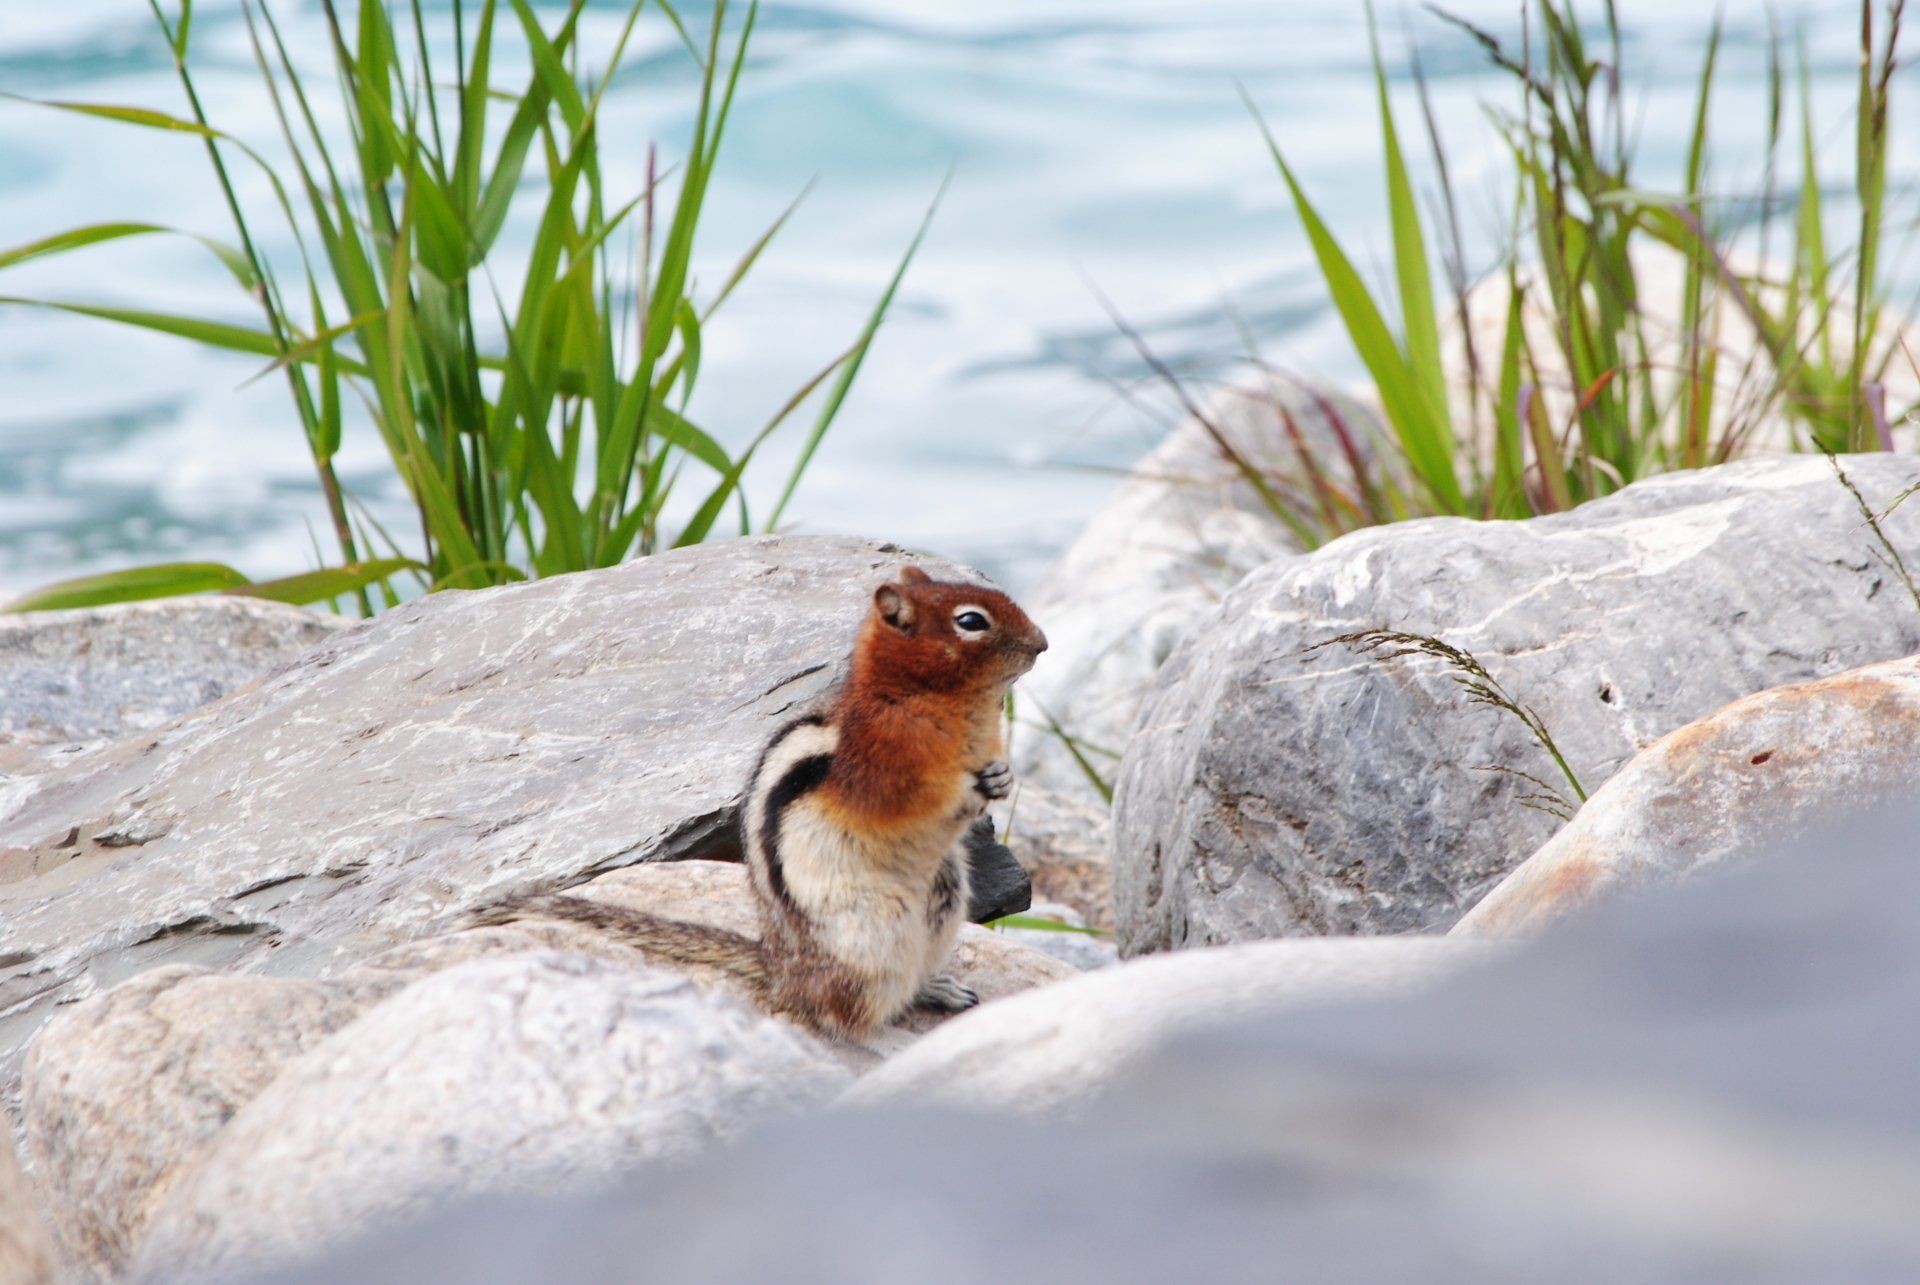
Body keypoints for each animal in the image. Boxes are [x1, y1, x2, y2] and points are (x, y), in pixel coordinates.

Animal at [471, 565, 1048, 1042]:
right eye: (971, 621)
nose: (1042, 643)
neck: (928, 699)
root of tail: (782, 970)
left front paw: (1001, 777)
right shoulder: (881, 767)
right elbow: (908, 800)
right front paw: (967, 789)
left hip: (944, 895)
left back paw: (937, 989)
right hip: (873, 932)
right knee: (842, 1011)